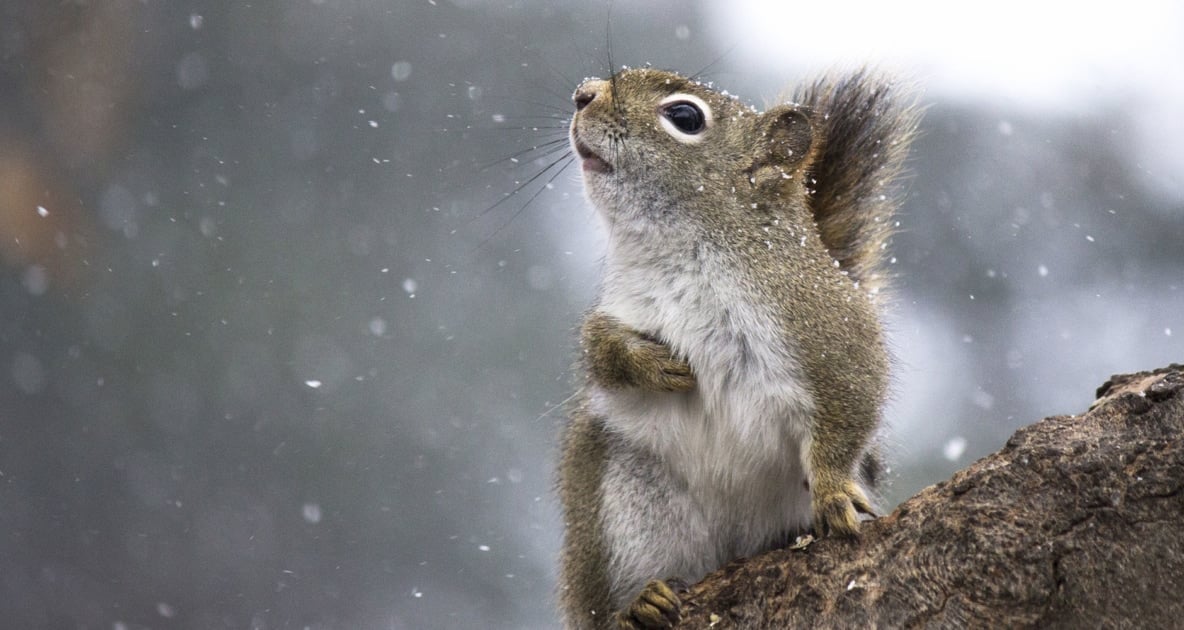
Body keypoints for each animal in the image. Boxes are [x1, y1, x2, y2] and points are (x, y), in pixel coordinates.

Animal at [556, 65, 923, 630]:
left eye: (685, 116)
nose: (583, 93)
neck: (676, 249)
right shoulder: (615, 309)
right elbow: (598, 351)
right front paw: (651, 365)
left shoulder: (830, 327)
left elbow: (850, 404)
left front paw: (835, 493)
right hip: (621, 504)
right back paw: (639, 605)